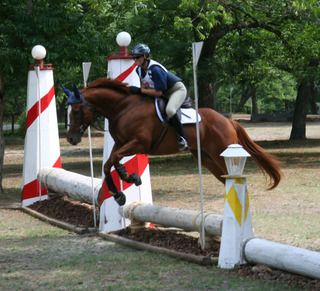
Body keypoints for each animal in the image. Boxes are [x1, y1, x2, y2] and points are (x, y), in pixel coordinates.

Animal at [66, 77, 282, 205]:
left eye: (76, 110)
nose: (71, 138)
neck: (123, 107)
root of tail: (228, 120)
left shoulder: (139, 143)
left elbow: (113, 160)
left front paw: (127, 182)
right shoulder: (121, 143)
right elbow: (110, 163)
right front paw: (126, 183)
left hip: (221, 153)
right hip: (206, 158)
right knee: (224, 178)